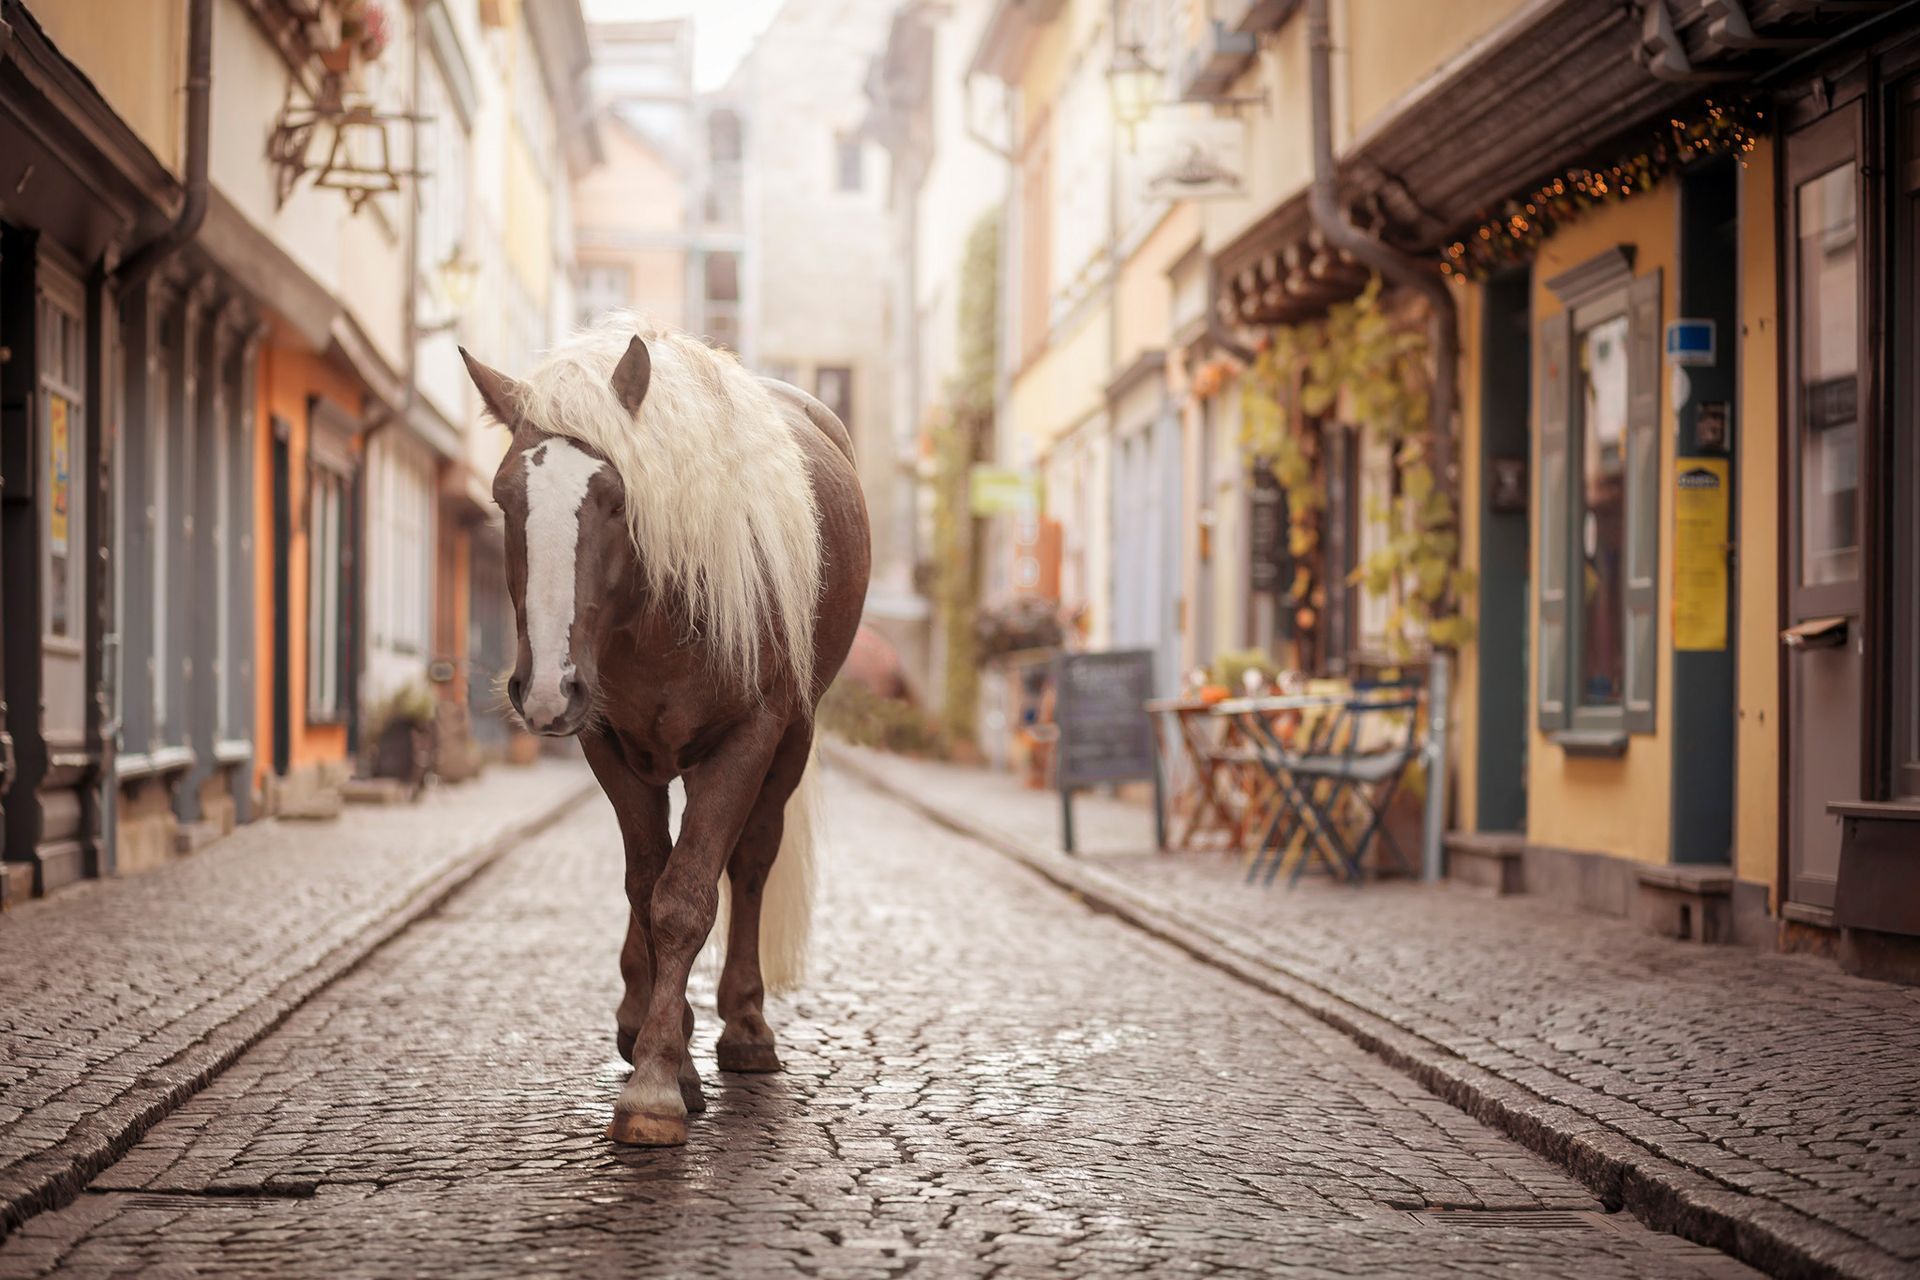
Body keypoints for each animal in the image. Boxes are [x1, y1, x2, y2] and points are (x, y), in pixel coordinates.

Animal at [459, 315, 869, 1147]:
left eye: (615, 499)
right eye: (505, 497)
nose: (544, 688)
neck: (658, 617)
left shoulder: (748, 739)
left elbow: (687, 897)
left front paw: (655, 1082)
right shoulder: (607, 744)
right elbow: (648, 885)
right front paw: (664, 1052)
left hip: (789, 742)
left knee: (749, 862)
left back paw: (743, 1027)